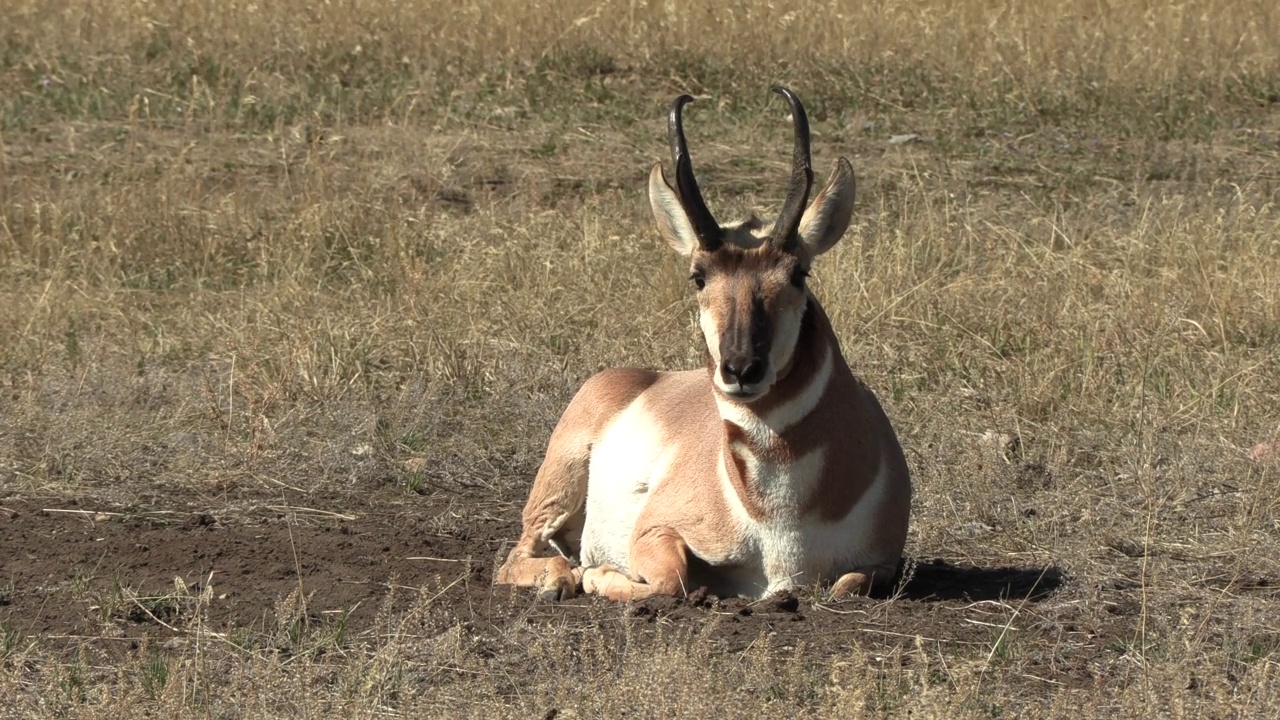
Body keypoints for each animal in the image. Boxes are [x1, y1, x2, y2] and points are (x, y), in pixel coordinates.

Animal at [496, 83, 911, 599]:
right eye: (698, 276)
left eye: (799, 272)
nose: (741, 368)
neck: (779, 520)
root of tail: (636, 377)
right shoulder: (655, 532)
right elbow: (671, 580)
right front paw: (596, 574)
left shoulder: (882, 564)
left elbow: (847, 583)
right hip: (557, 484)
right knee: (514, 558)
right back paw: (563, 577)